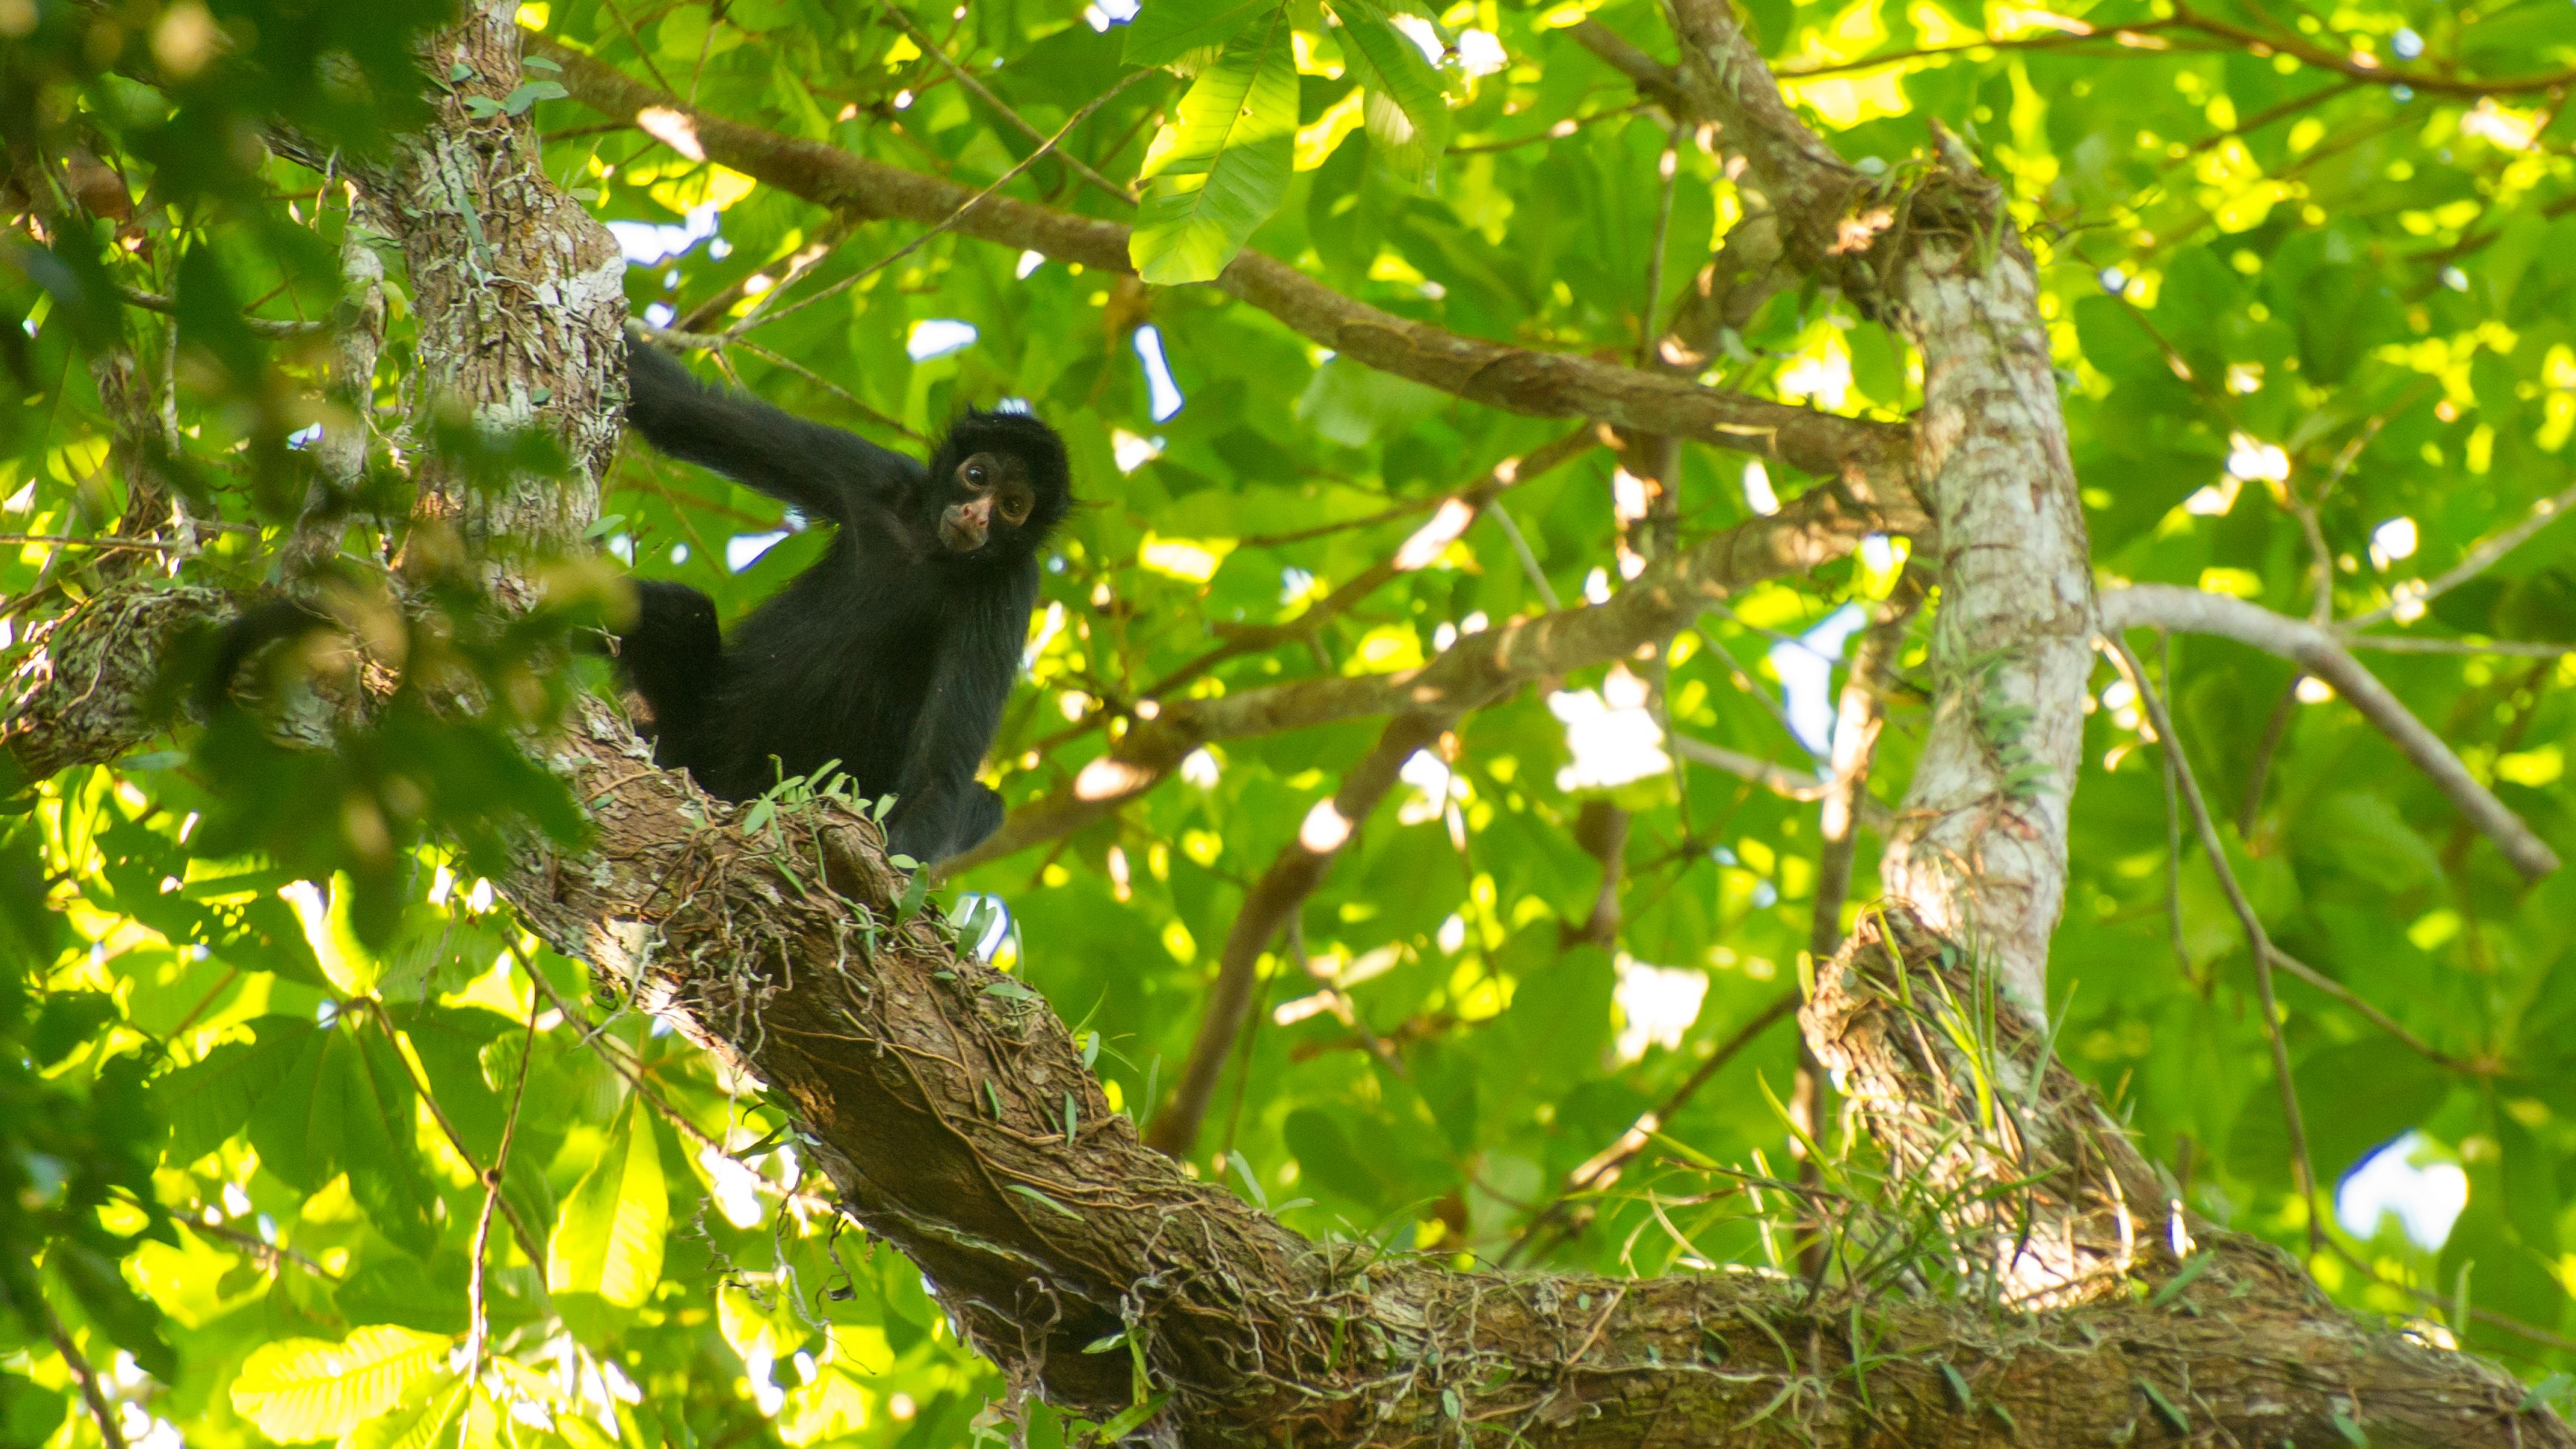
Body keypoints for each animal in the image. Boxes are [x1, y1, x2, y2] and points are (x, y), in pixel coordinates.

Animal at [610, 334, 1066, 870]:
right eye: (977, 475)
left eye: (1013, 507)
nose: (977, 516)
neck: (932, 553)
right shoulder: (876, 477)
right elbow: (678, 408)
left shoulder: (1011, 584)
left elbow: (938, 778)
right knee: (679, 613)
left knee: (984, 802)